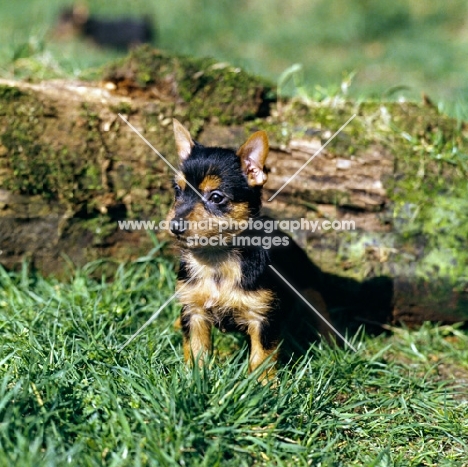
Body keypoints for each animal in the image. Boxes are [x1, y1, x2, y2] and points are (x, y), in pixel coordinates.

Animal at [169, 120, 332, 376]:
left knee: (319, 305)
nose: (174, 226)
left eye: (216, 197)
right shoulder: (193, 311)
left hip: (307, 280)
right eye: (178, 190)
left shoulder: (262, 318)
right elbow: (196, 348)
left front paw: (261, 383)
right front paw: (194, 376)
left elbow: (261, 357)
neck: (217, 258)